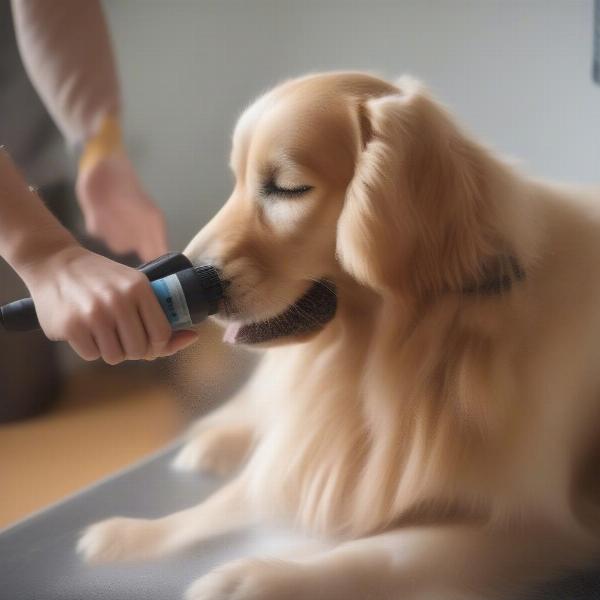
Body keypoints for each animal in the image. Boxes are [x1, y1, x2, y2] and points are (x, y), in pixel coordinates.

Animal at [77, 75, 600, 600]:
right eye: (237, 182)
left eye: (288, 189)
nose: (185, 278)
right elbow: (226, 501)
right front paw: (132, 535)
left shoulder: (538, 527)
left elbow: (383, 552)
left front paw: (256, 578)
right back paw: (214, 443)